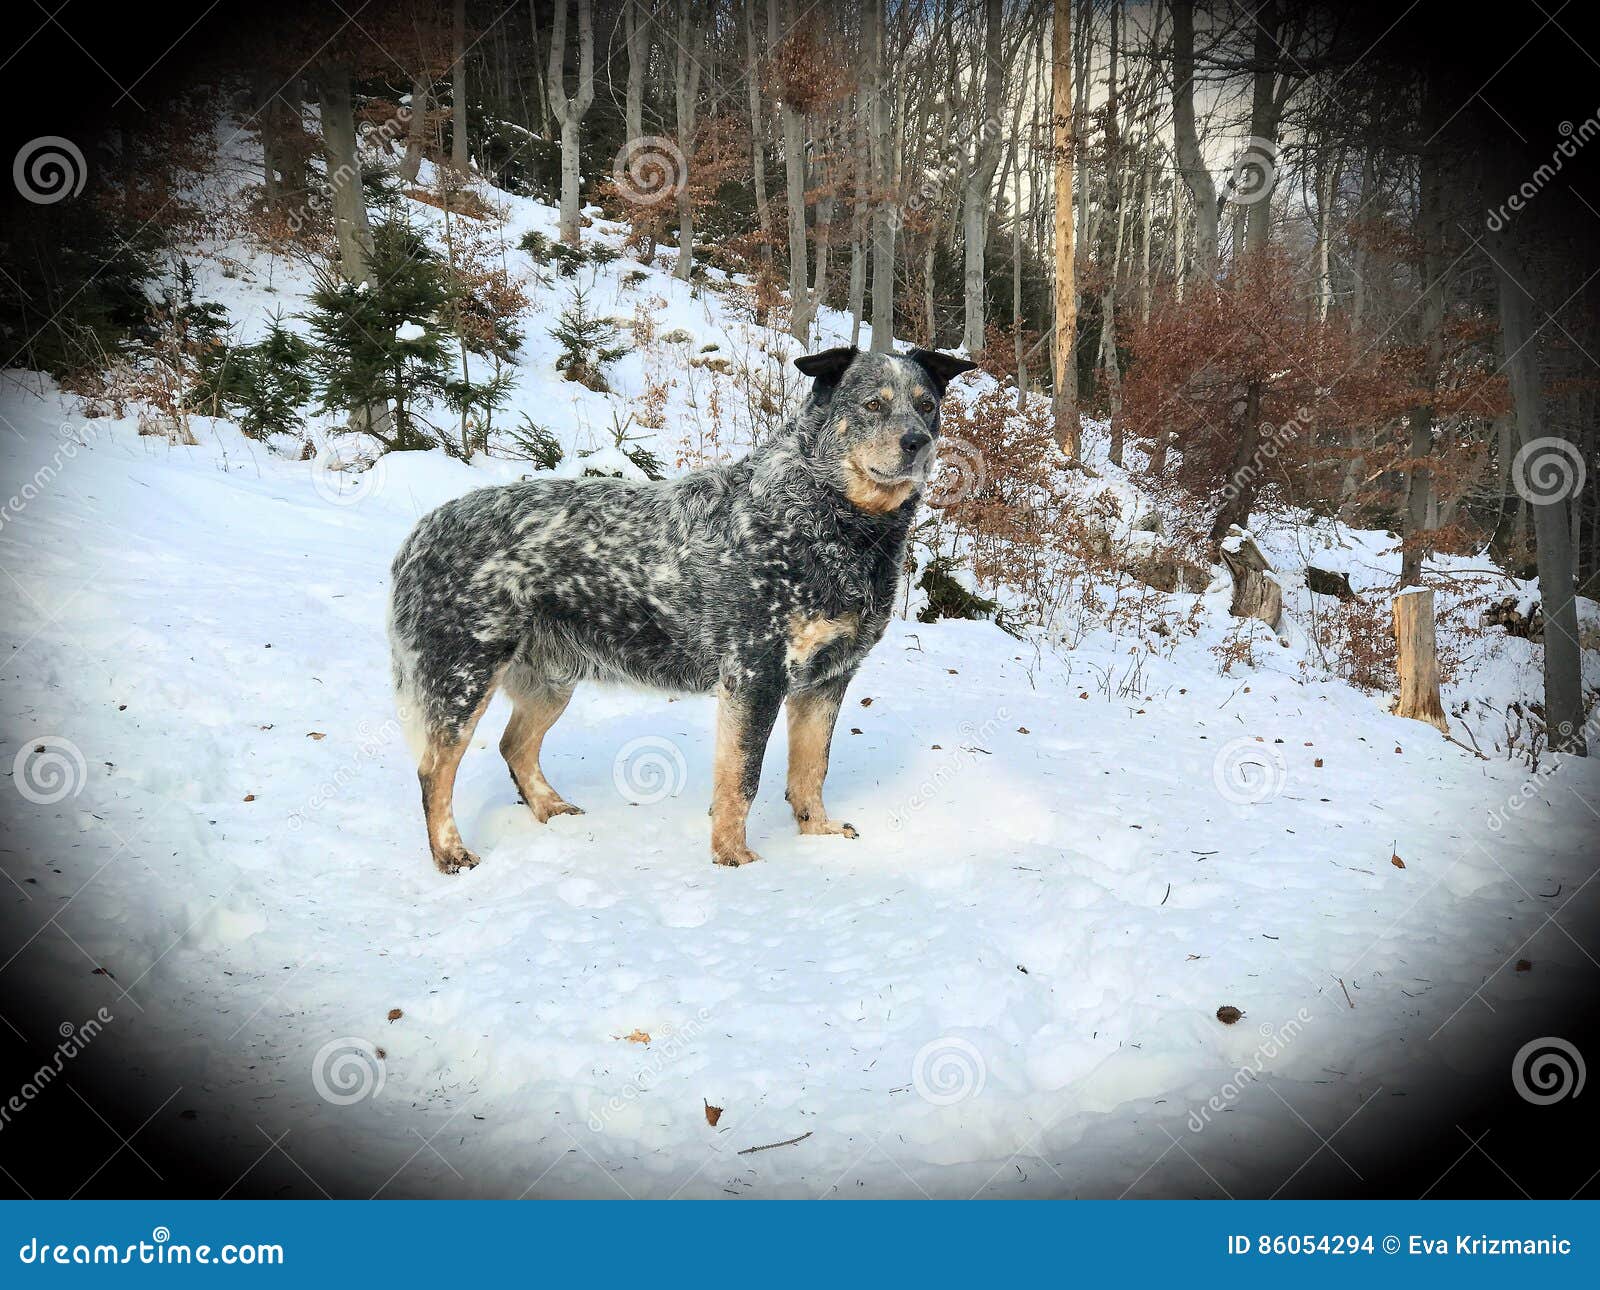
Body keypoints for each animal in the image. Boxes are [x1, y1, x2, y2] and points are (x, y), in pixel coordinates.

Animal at [393, 344, 979, 877]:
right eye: (873, 404)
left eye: (926, 404)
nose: (919, 443)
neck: (835, 522)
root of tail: (420, 532)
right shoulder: (755, 674)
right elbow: (741, 778)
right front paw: (733, 858)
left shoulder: (829, 678)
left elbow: (812, 770)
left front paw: (818, 836)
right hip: (464, 675)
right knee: (433, 770)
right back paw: (450, 853)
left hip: (551, 680)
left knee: (514, 746)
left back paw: (551, 808)